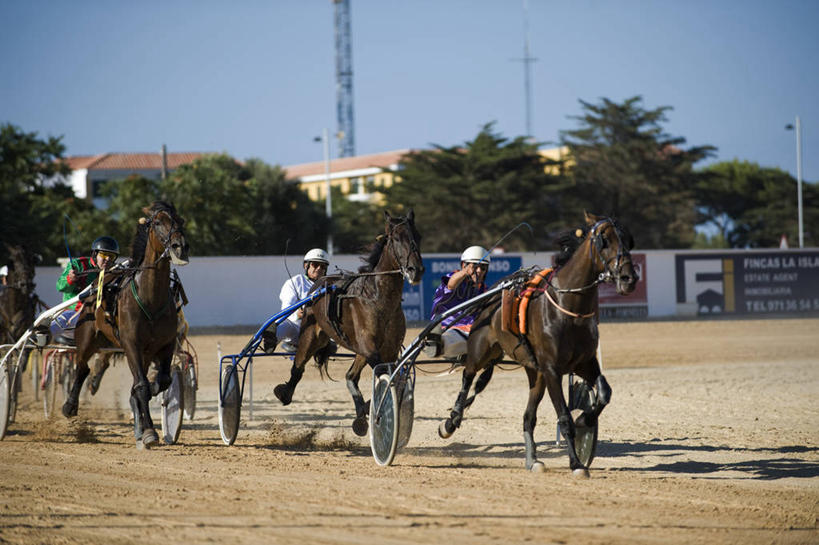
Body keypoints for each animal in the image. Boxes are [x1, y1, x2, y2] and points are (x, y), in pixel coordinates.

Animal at [61, 202, 190, 448]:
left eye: (180, 220)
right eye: (157, 222)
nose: (180, 246)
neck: (150, 297)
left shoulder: (165, 344)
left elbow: (161, 381)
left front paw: (145, 417)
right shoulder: (131, 344)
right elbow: (141, 386)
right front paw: (149, 432)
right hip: (87, 337)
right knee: (82, 367)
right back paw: (69, 405)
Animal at [276, 210, 426, 436]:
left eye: (417, 236)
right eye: (396, 238)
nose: (415, 270)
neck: (378, 298)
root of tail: (318, 286)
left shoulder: (388, 349)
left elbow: (390, 374)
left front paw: (371, 408)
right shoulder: (369, 347)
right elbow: (382, 374)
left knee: (350, 376)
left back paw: (361, 416)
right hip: (311, 335)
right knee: (298, 367)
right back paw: (284, 393)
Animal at [438, 212, 636, 476]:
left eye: (628, 240)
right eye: (604, 240)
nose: (629, 278)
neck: (568, 308)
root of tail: (490, 298)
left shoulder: (584, 363)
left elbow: (604, 393)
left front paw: (585, 420)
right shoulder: (552, 370)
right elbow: (564, 417)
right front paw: (576, 463)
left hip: (535, 372)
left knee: (527, 417)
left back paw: (533, 461)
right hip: (481, 351)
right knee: (467, 376)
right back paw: (451, 421)